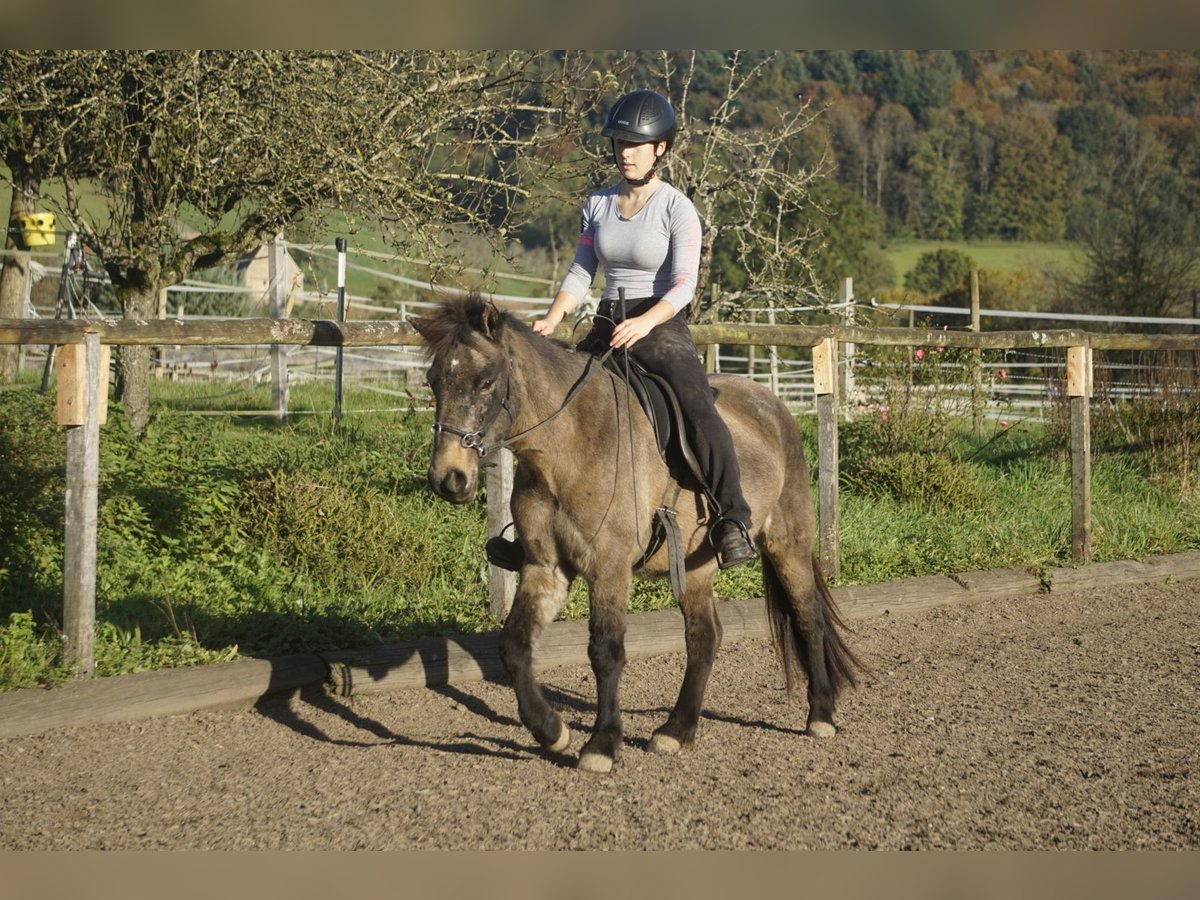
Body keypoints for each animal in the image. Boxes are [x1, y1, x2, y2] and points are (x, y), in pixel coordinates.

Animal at [412, 296, 864, 777]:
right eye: (434, 381)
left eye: (486, 381)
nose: (448, 478)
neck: (568, 445)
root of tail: (771, 405)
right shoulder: (545, 568)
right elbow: (514, 646)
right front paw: (551, 730)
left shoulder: (608, 567)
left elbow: (606, 650)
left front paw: (602, 743)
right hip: (696, 565)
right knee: (705, 636)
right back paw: (676, 730)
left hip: (787, 545)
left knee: (808, 617)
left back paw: (820, 715)